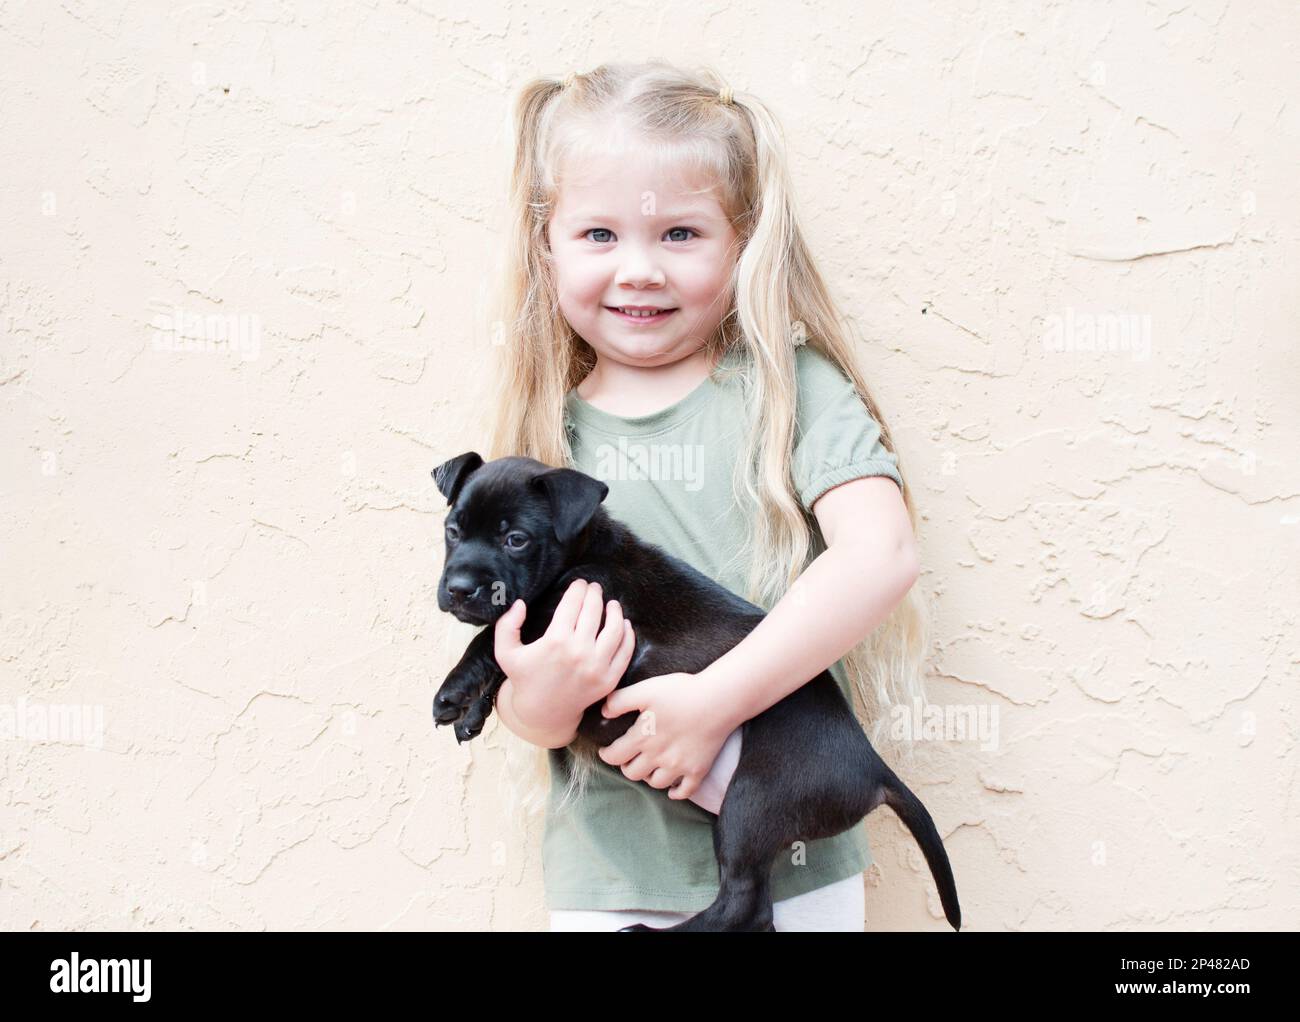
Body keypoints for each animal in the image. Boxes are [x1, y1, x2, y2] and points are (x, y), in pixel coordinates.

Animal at [431, 449, 961, 925]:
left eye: (516, 539)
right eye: (452, 532)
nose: (457, 589)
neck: (583, 554)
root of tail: (875, 770)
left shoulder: (580, 625)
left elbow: (496, 638)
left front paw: (454, 688)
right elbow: (506, 655)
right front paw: (473, 711)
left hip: (754, 797)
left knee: (742, 903)